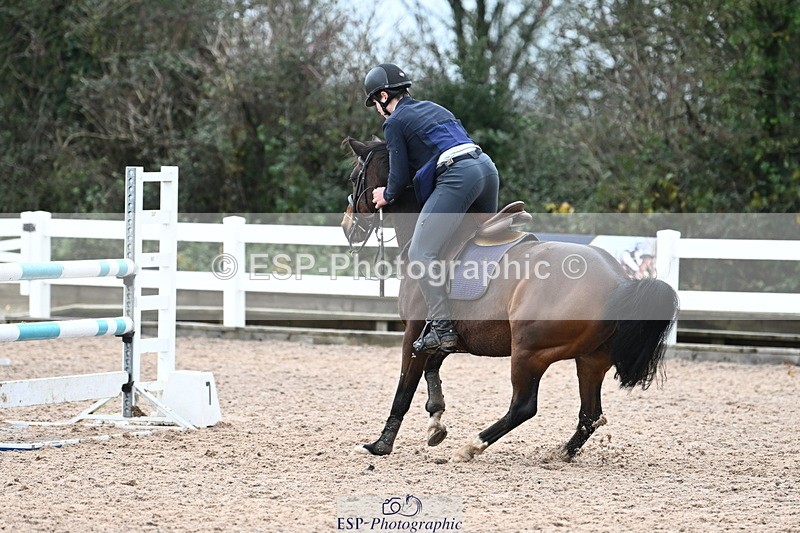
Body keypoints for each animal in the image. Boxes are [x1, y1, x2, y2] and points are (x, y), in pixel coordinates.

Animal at [341, 137, 679, 463]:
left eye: (355, 177)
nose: (346, 226)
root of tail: (618, 282)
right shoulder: (443, 338)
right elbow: (432, 370)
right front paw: (435, 420)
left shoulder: (414, 333)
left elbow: (404, 391)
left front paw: (380, 445)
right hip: (590, 360)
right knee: (590, 415)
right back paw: (562, 453)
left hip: (529, 351)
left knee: (524, 406)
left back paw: (471, 447)